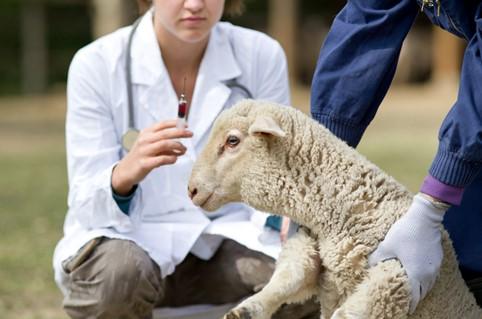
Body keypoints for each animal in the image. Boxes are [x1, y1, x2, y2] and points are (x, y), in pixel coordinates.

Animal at [187, 100, 482, 319]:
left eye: (232, 141)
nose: (191, 189)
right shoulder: (312, 251)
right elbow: (288, 278)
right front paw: (248, 309)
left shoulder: (397, 276)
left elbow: (350, 312)